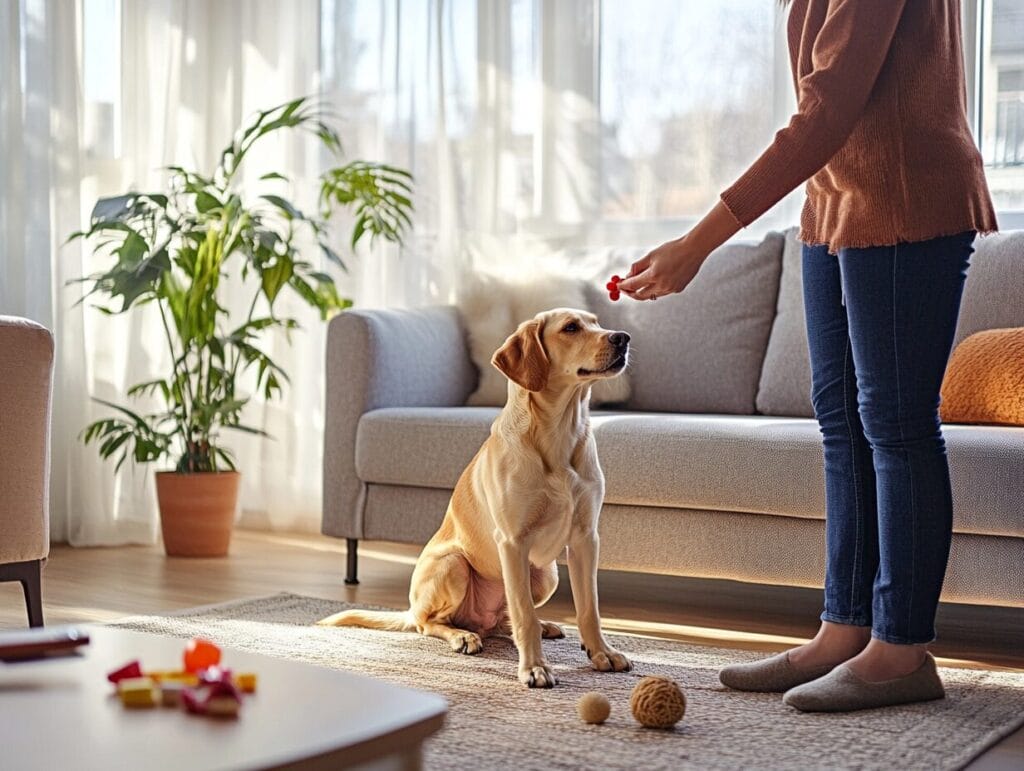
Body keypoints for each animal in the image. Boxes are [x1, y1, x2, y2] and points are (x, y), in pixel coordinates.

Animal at [315, 307, 626, 683]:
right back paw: (463, 636)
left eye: (597, 322)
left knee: (504, 619)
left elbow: (588, 609)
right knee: (430, 623)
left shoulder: (585, 538)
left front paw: (601, 652)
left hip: (546, 574)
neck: (559, 435)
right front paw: (534, 668)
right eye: (570, 328)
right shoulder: (513, 541)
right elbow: (524, 614)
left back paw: (540, 625)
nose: (623, 338)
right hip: (454, 564)